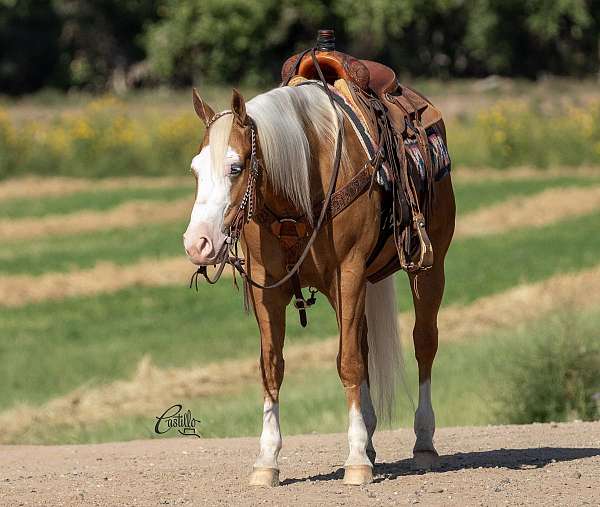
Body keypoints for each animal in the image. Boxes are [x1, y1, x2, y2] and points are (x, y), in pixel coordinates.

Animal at [183, 84, 454, 488]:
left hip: (428, 269)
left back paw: (423, 443)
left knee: (423, 343)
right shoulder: (266, 288)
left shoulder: (349, 275)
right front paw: (267, 460)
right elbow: (272, 366)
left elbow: (349, 363)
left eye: (236, 167)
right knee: (363, 344)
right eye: (195, 170)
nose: (197, 243)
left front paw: (356, 460)